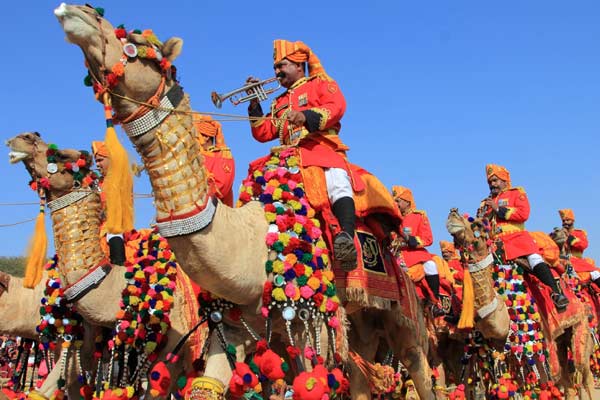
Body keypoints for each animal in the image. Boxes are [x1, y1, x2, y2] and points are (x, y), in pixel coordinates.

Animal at [55, 3, 436, 400]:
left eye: (134, 44)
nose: (80, 12)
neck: (256, 240)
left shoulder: (309, 316)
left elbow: (332, 103)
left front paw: (297, 113)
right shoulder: (233, 325)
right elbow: (205, 385)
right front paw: (256, 97)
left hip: (405, 319)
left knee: (420, 372)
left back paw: (350, 247)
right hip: (361, 322)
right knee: (362, 375)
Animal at [442, 208, 592, 398]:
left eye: (477, 225)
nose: (453, 213)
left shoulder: (537, 346)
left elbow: (542, 385)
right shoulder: (498, 353)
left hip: (579, 329)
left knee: (583, 374)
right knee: (568, 380)